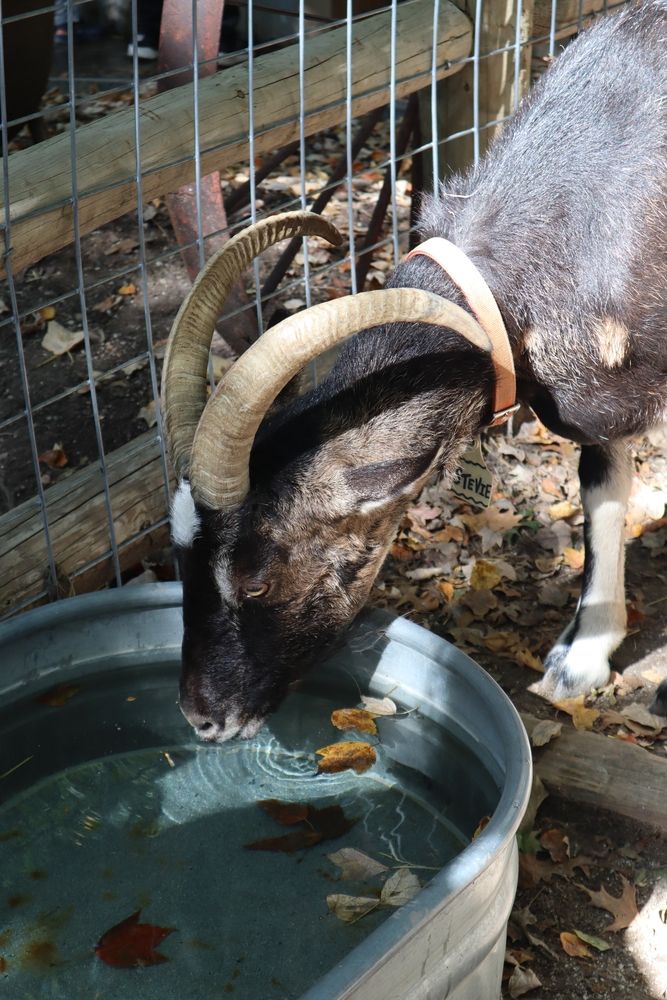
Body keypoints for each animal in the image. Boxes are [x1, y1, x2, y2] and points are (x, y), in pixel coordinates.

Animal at [162, 0, 667, 742]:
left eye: (256, 578)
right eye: (179, 564)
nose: (202, 719)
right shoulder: (599, 403)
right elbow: (601, 487)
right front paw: (580, 660)